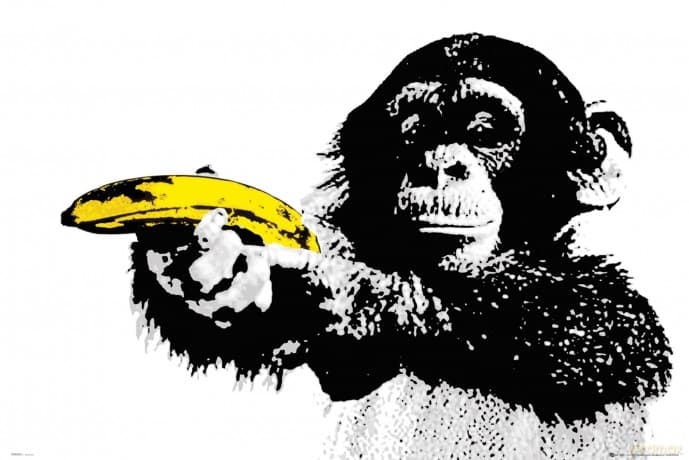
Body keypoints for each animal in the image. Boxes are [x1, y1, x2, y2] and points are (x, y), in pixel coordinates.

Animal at [129, 34, 671, 458]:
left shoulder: (614, 323)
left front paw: (329, 291)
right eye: (414, 131)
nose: (439, 165)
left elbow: (580, 325)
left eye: (486, 131)